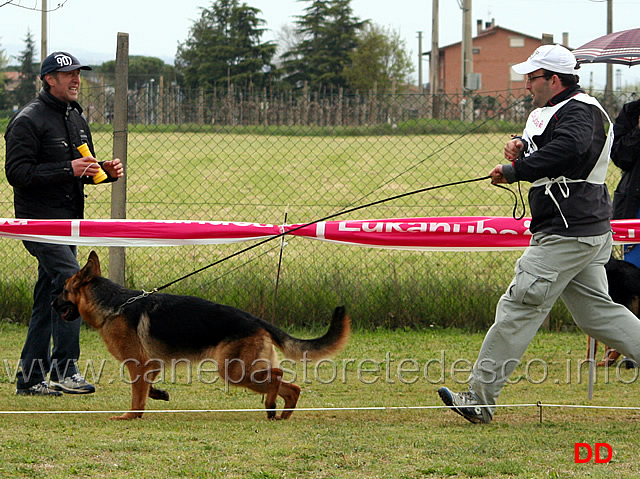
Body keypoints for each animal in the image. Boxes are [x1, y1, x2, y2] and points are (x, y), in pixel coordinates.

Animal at [55, 251, 352, 420]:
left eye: (64, 290)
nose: (50, 302)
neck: (114, 305)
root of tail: (257, 320)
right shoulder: (151, 364)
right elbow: (147, 387)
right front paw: (158, 394)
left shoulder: (137, 364)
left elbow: (137, 395)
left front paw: (130, 416)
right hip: (244, 370)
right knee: (292, 387)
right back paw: (280, 413)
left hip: (233, 371)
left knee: (278, 377)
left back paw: (270, 405)